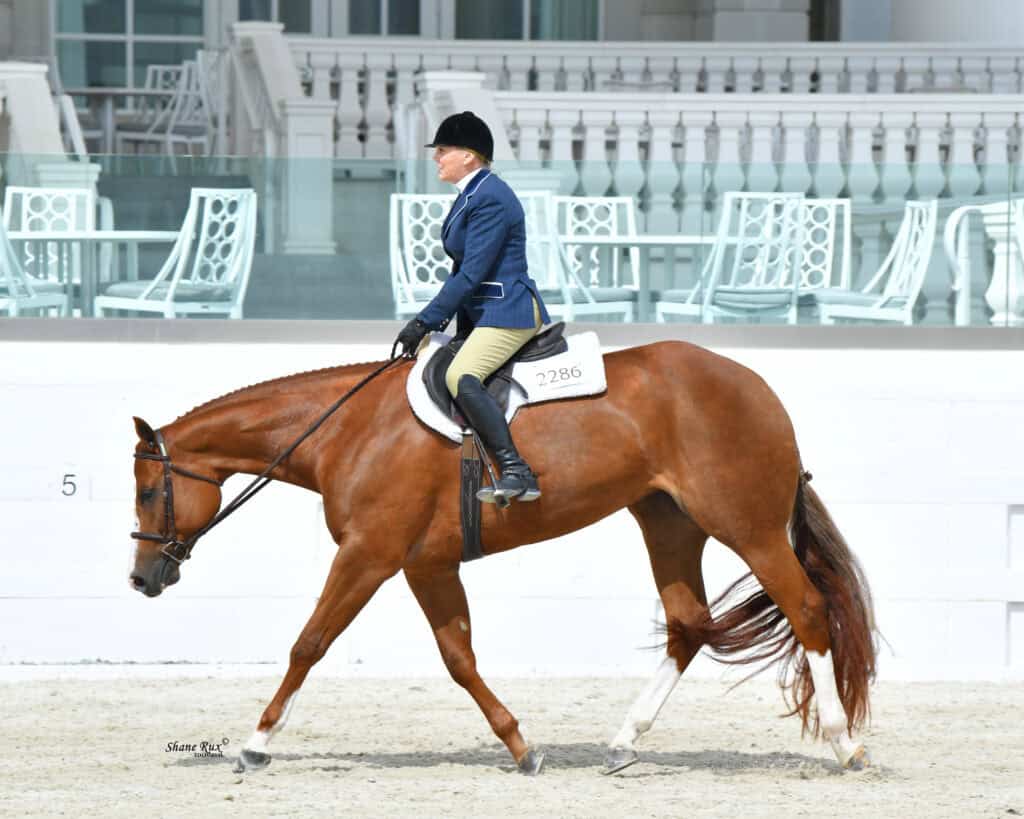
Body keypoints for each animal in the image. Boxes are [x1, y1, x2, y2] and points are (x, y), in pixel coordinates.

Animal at [127, 339, 876, 775]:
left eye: (146, 491)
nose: (142, 578)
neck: (346, 430)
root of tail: (757, 385)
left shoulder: (369, 554)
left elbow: (309, 643)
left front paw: (256, 743)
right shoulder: (426, 564)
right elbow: (459, 657)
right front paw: (522, 747)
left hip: (746, 525)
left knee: (806, 607)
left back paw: (846, 745)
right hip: (669, 524)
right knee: (688, 624)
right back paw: (623, 742)